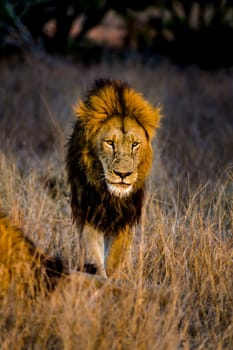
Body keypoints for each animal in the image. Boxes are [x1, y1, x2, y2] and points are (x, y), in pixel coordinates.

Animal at [66, 79, 162, 278]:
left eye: (135, 144)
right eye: (109, 143)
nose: (123, 174)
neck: (111, 196)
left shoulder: (125, 218)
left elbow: (115, 258)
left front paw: (113, 278)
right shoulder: (89, 212)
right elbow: (94, 251)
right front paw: (98, 277)